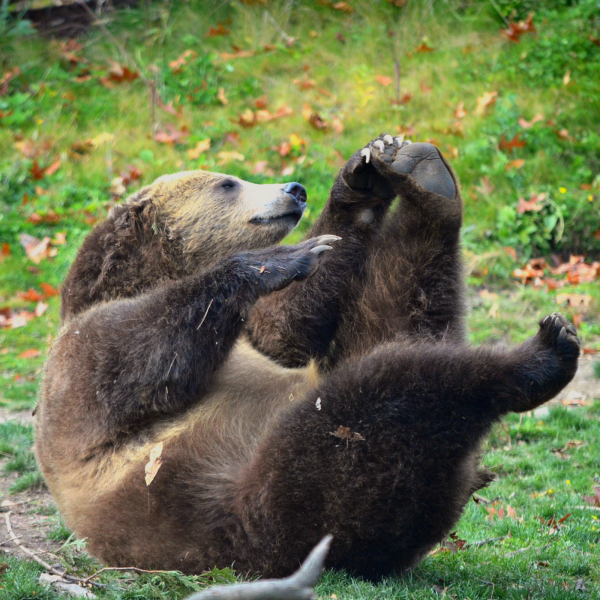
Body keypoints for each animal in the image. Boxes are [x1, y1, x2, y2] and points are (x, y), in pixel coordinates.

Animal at [35, 137, 580, 580]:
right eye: (228, 183)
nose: (294, 189)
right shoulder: (82, 366)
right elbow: (139, 358)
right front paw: (283, 258)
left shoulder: (257, 335)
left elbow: (292, 322)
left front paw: (358, 180)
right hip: (264, 492)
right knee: (391, 395)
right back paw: (540, 356)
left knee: (405, 308)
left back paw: (428, 182)